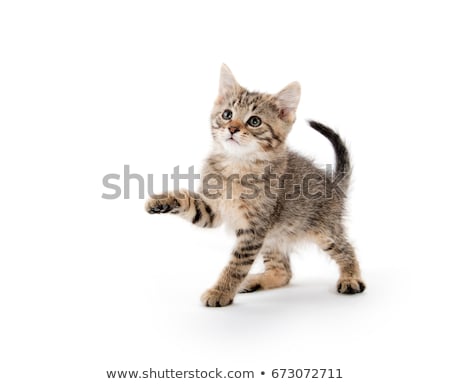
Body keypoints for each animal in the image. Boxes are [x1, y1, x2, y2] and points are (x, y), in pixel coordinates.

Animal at [146, 65, 364, 306]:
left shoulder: (254, 228)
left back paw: (351, 278)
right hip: (274, 237)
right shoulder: (214, 210)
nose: (232, 128)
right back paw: (255, 281)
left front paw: (221, 291)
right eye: (227, 115)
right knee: (283, 272)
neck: (236, 165)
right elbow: (189, 201)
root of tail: (333, 184)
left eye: (254, 121)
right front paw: (161, 201)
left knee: (346, 248)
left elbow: (237, 264)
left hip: (323, 230)